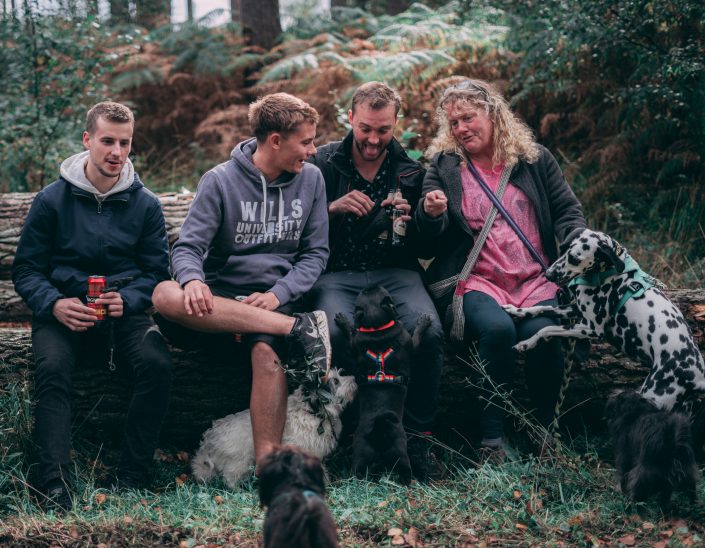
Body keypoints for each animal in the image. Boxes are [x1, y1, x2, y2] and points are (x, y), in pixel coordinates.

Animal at [334, 286, 428, 484]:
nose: (369, 286)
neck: (378, 330)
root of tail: (380, 429)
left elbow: (351, 332)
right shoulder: (410, 343)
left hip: (365, 452)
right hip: (398, 451)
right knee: (404, 472)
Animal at [504, 229, 704, 414]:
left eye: (575, 259)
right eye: (563, 249)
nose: (549, 275)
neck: (608, 272)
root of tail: (698, 378)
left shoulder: (590, 329)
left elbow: (547, 327)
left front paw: (527, 343)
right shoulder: (574, 309)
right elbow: (540, 308)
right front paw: (515, 310)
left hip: (652, 395)